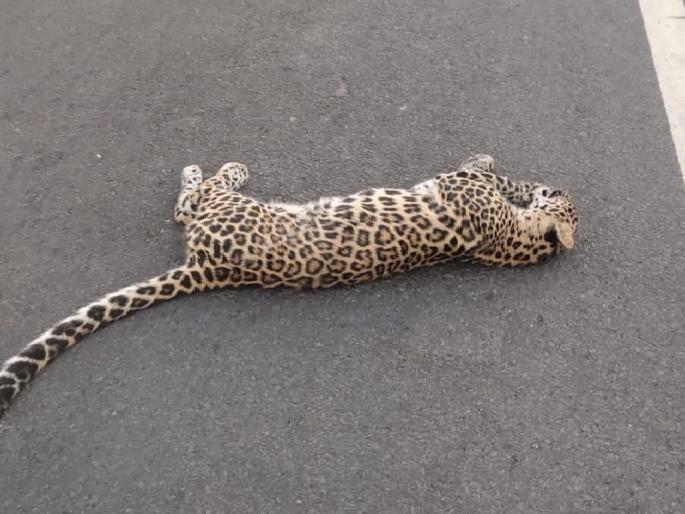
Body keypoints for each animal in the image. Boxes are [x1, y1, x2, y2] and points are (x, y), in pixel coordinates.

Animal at [0, 154, 578, 417]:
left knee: (192, 200)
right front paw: (528, 179)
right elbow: (506, 179)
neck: (516, 242)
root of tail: (209, 268)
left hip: (224, 210)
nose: (560, 188)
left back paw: (220, 167)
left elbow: (482, 173)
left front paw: (500, 167)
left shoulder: (465, 188)